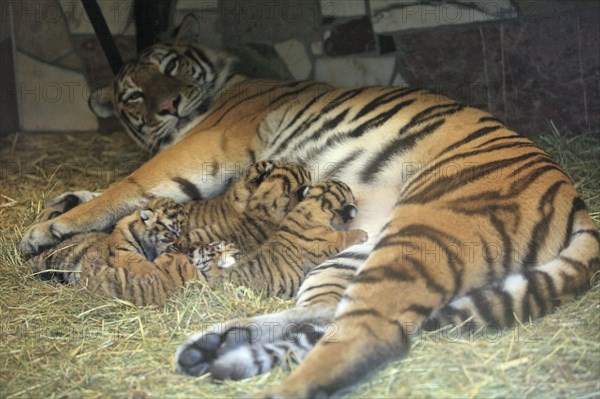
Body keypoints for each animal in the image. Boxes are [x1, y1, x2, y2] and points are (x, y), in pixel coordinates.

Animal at [19, 14, 600, 398]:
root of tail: (576, 198)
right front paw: (60, 202)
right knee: (323, 313)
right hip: (348, 247)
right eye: (134, 95)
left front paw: (46, 230)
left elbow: (128, 185)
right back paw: (215, 348)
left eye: (171, 65)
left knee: (371, 333)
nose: (170, 105)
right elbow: (117, 193)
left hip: (428, 228)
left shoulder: (201, 146)